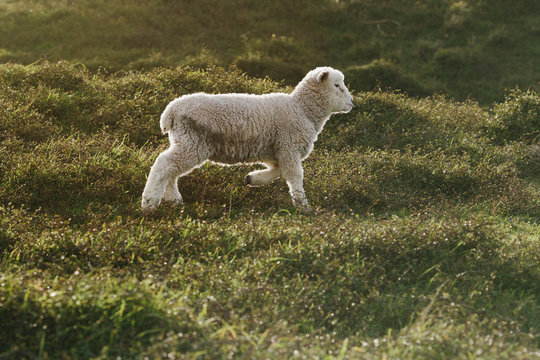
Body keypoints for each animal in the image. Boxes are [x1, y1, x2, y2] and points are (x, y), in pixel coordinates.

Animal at [141, 66, 354, 212]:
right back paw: (149, 203)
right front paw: (303, 207)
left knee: (171, 170)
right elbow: (294, 176)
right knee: (163, 164)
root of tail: (170, 112)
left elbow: (278, 171)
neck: (303, 109)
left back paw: (174, 201)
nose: (352, 102)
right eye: (337, 85)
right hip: (193, 143)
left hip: (186, 142)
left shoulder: (276, 150)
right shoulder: (289, 146)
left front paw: (253, 178)